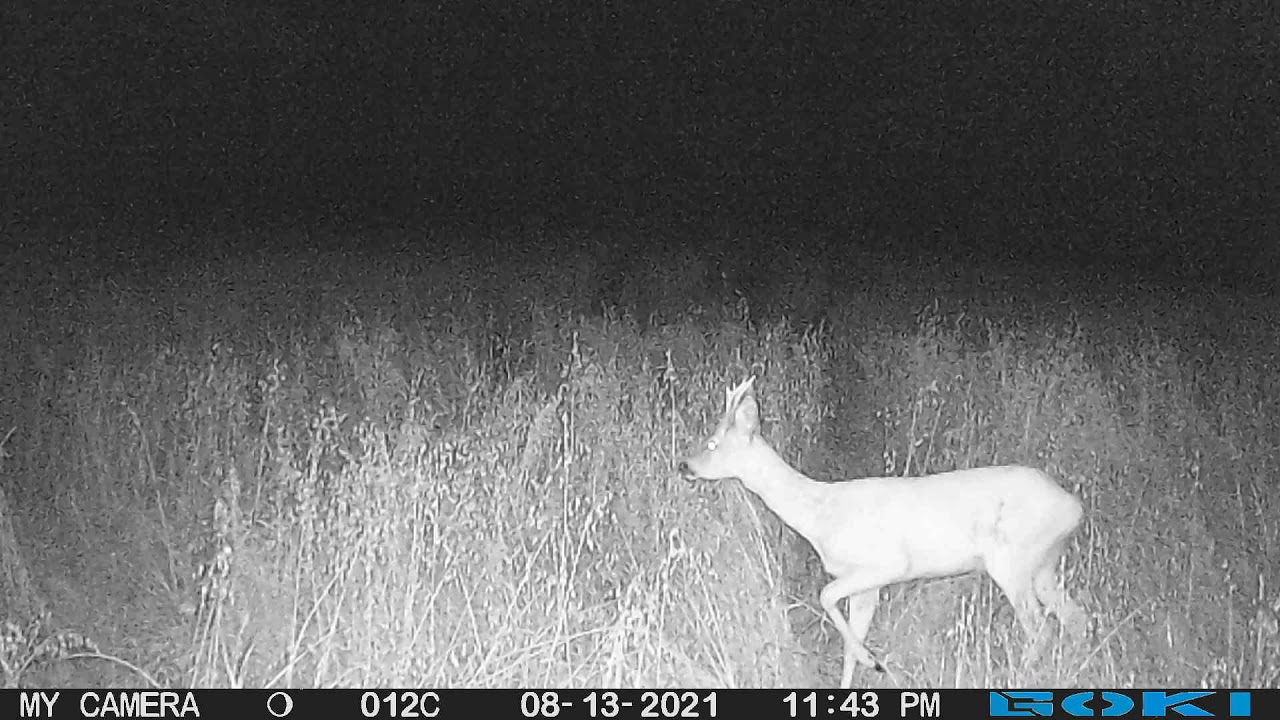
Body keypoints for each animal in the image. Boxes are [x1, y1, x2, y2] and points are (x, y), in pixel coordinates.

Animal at [677, 376, 1087, 688]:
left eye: (712, 443)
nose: (684, 465)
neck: (820, 516)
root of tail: (1074, 506)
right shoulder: (867, 587)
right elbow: (848, 641)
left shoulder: (886, 564)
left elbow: (826, 597)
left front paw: (872, 660)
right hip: (1042, 567)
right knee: (1076, 618)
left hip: (1012, 560)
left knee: (1042, 630)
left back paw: (1022, 678)